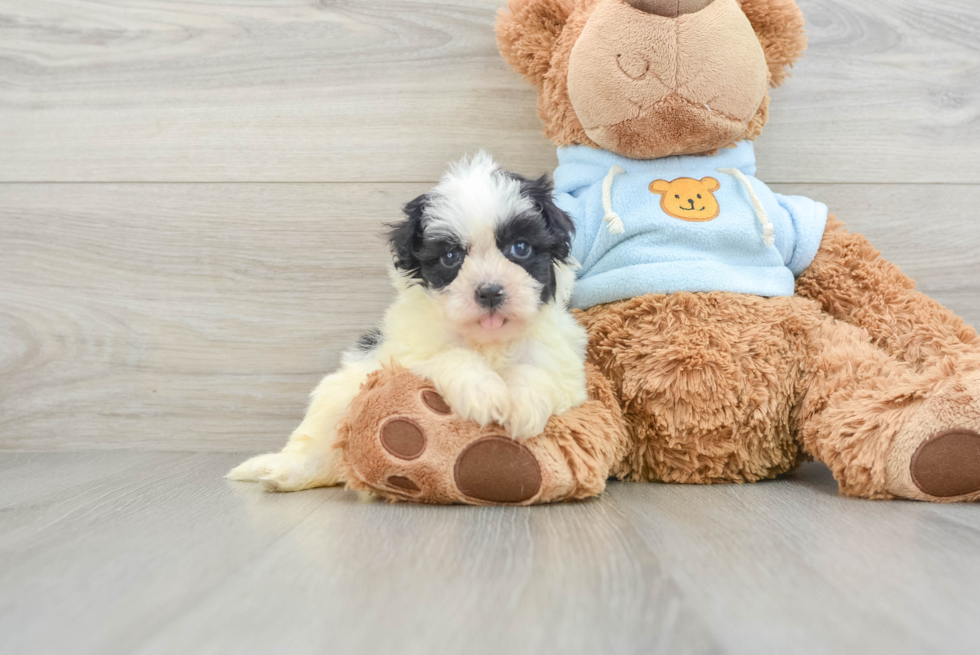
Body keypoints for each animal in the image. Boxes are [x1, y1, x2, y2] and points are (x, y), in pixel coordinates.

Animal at [226, 152, 584, 492]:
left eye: (520, 248)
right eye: (450, 257)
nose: (490, 292)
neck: (487, 341)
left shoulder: (568, 377)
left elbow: (537, 371)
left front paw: (524, 404)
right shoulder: (402, 359)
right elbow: (451, 355)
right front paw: (482, 391)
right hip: (338, 396)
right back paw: (283, 470)